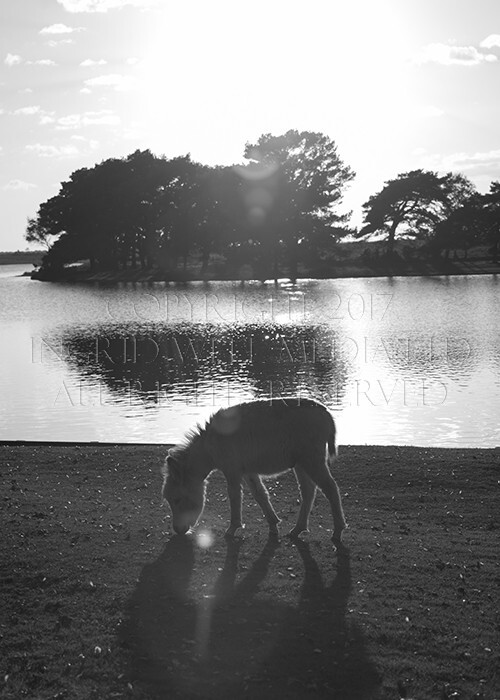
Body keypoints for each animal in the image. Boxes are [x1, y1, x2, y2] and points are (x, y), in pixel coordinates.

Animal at [161, 400, 348, 548]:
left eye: (176, 500)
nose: (178, 530)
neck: (210, 448)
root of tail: (326, 413)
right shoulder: (247, 471)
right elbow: (260, 495)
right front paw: (273, 525)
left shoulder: (232, 471)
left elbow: (235, 498)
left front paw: (232, 529)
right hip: (301, 463)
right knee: (309, 491)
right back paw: (297, 530)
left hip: (311, 460)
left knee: (331, 489)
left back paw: (338, 531)